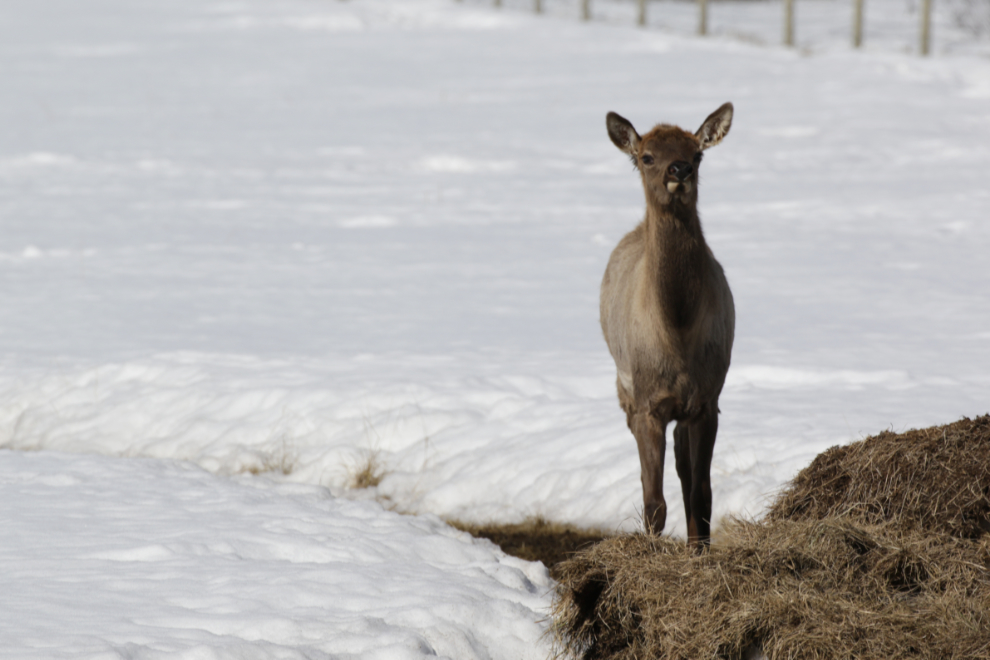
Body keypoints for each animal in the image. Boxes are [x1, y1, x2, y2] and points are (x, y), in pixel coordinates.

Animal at [600, 103, 735, 548]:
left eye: (698, 153)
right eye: (646, 156)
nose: (679, 169)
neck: (676, 330)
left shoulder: (708, 399)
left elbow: (701, 494)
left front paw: (699, 551)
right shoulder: (647, 403)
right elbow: (653, 502)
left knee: (684, 470)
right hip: (623, 390)